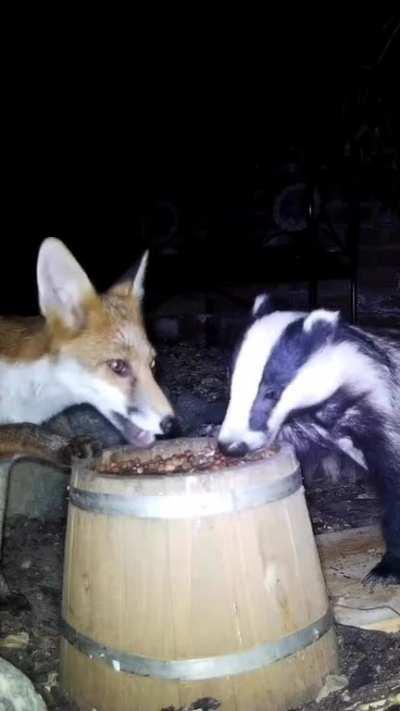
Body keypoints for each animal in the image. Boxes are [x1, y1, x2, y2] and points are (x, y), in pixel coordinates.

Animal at [0, 237, 177, 608]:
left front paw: (2, 593)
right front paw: (67, 447)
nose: (172, 424)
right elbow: (28, 430)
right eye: (118, 367)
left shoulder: (4, 465)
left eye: (153, 365)